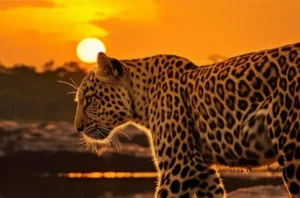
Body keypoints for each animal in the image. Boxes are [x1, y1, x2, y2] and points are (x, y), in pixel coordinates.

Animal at [72, 42, 300, 197]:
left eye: (90, 100)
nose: (77, 128)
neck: (143, 98)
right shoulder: (202, 170)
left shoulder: (178, 166)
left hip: (292, 152)